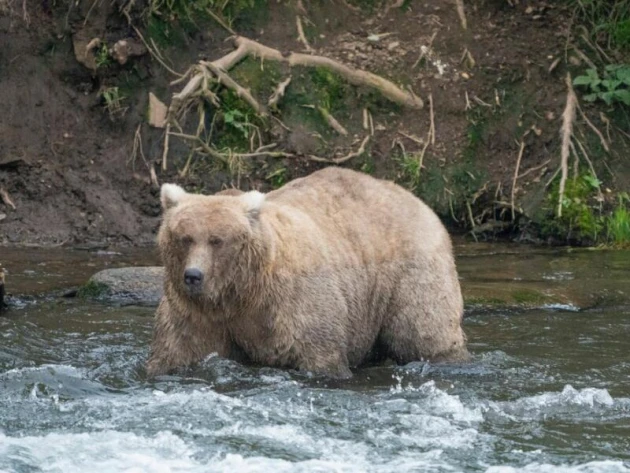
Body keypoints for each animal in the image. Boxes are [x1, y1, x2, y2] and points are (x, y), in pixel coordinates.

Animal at [147, 168, 470, 378]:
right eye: (185, 237)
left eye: (217, 240)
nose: (193, 275)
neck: (241, 292)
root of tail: (417, 200)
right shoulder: (196, 313)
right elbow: (178, 350)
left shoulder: (293, 303)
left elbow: (319, 352)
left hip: (410, 271)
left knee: (423, 331)